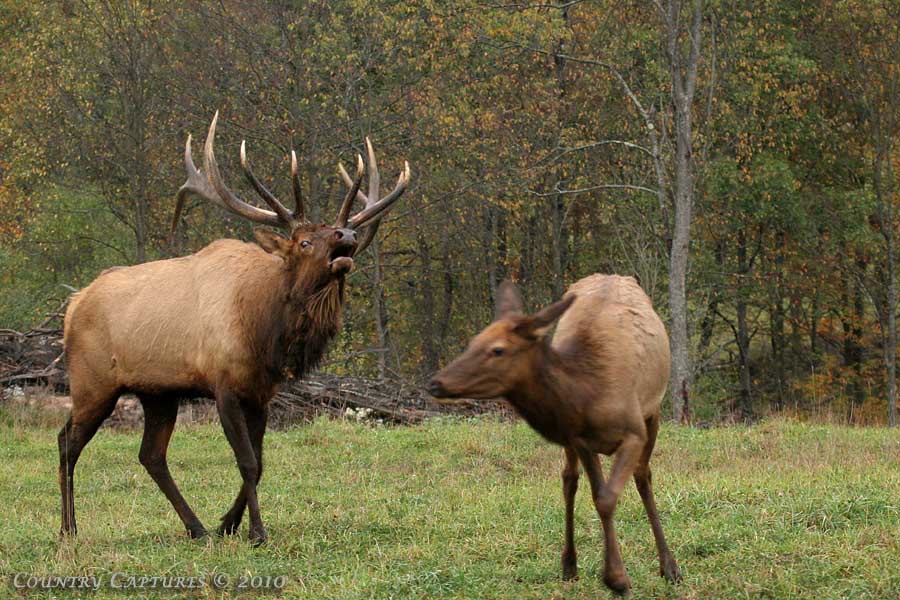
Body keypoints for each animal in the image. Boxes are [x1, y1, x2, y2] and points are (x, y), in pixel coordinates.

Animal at [59, 112, 410, 544]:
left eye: (337, 232)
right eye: (304, 241)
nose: (348, 235)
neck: (264, 331)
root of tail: (73, 305)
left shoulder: (261, 393)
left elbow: (259, 462)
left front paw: (229, 523)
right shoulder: (223, 385)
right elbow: (246, 461)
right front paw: (256, 531)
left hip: (158, 392)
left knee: (151, 455)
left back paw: (196, 528)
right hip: (92, 382)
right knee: (68, 442)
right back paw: (69, 529)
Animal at [427, 276, 682, 595]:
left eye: (497, 350)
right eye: (473, 342)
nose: (435, 383)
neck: (589, 393)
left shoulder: (634, 431)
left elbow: (610, 496)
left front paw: (618, 578)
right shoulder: (581, 440)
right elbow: (599, 496)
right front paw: (614, 576)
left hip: (653, 411)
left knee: (642, 475)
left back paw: (669, 566)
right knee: (569, 479)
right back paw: (569, 564)